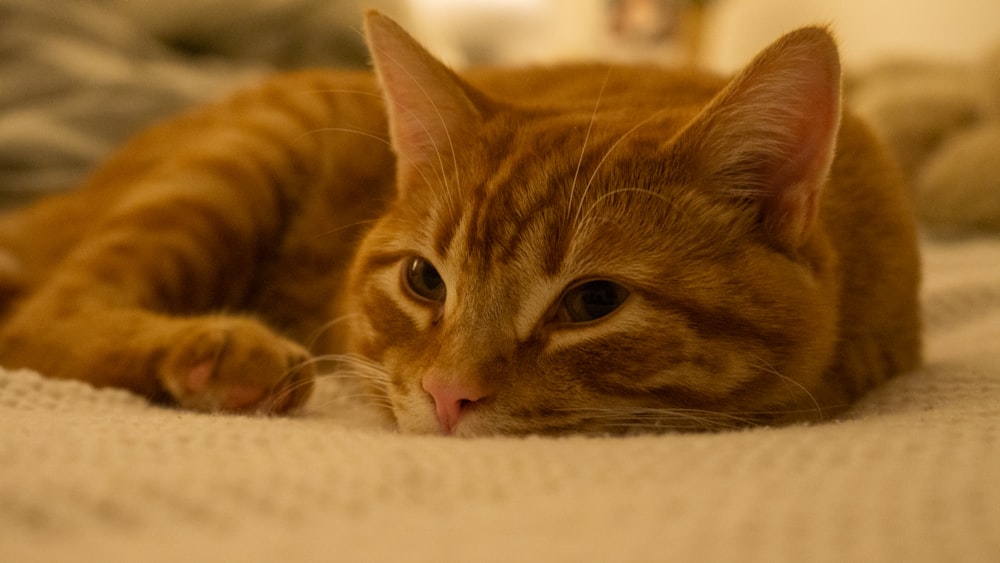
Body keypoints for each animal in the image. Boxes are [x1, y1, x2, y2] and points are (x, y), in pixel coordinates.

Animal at [0, 12, 916, 436]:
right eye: (422, 279)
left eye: (594, 302)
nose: (447, 393)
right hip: (232, 165)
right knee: (37, 322)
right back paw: (220, 355)